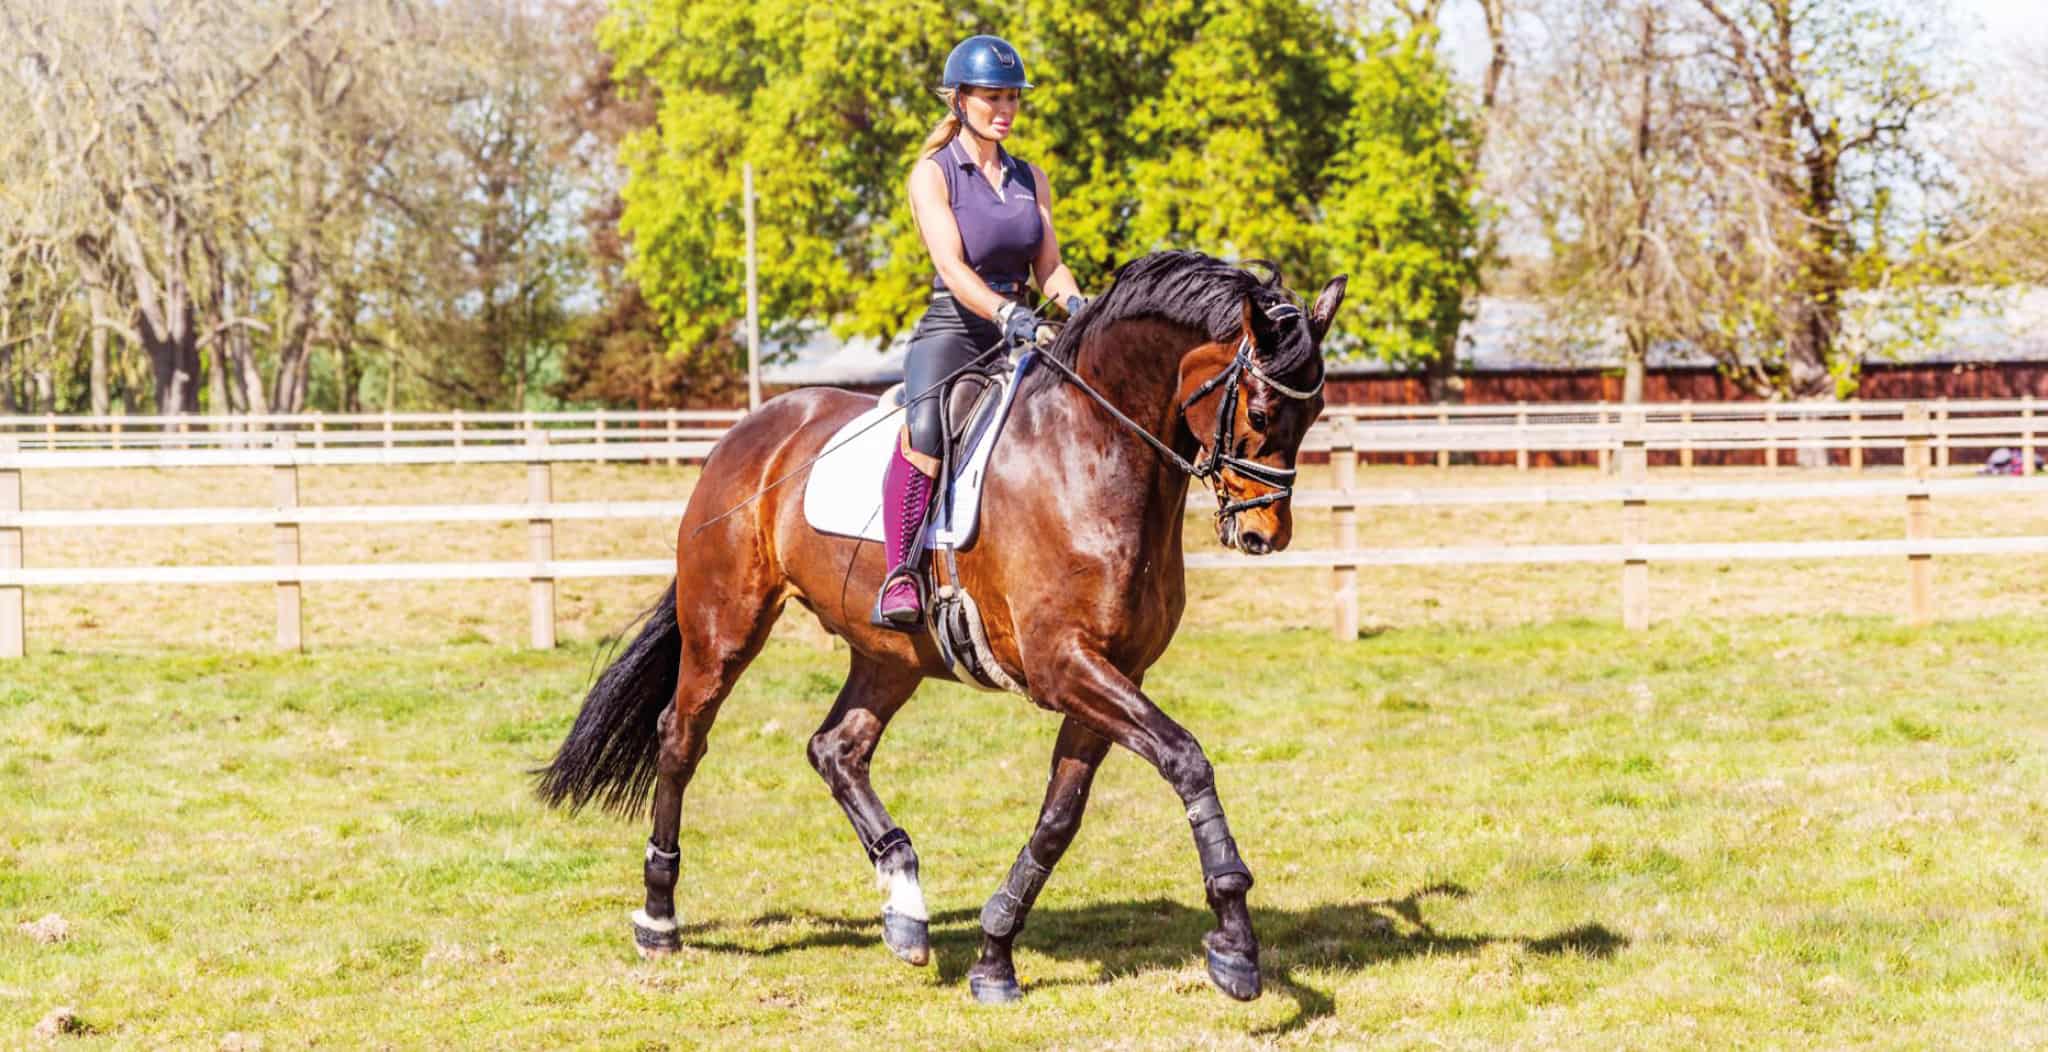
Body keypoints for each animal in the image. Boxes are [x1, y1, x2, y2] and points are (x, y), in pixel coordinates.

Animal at [536, 250, 1346, 1003]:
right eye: (1262, 413)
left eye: (1313, 417)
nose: (1265, 535)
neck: (1091, 456)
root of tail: (748, 432)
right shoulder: (1064, 665)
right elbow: (1186, 759)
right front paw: (1235, 944)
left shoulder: (1113, 672)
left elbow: (1060, 819)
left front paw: (994, 955)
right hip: (724, 628)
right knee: (680, 740)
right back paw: (658, 918)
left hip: (891, 652)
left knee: (836, 749)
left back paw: (905, 909)